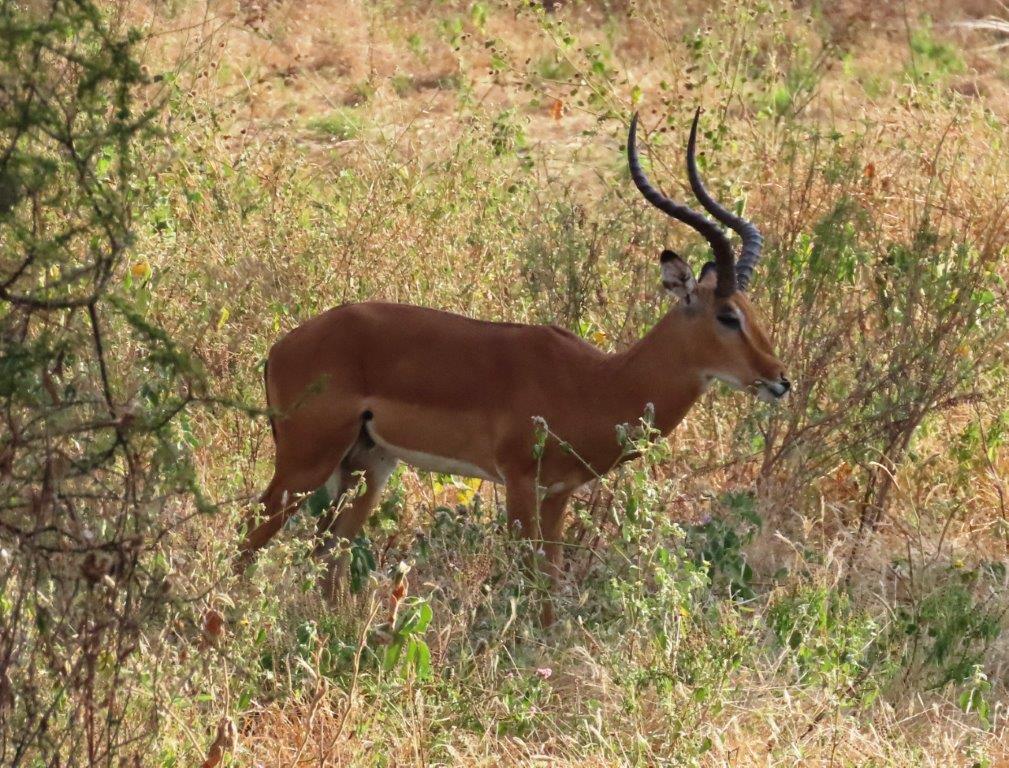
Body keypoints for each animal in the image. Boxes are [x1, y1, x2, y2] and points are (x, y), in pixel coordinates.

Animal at [237, 109, 790, 623]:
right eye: (727, 315)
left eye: (752, 309)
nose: (780, 380)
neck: (598, 383)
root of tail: (281, 347)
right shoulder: (520, 485)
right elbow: (531, 579)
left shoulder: (559, 493)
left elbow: (550, 580)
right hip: (305, 464)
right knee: (250, 538)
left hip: (368, 466)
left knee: (328, 552)